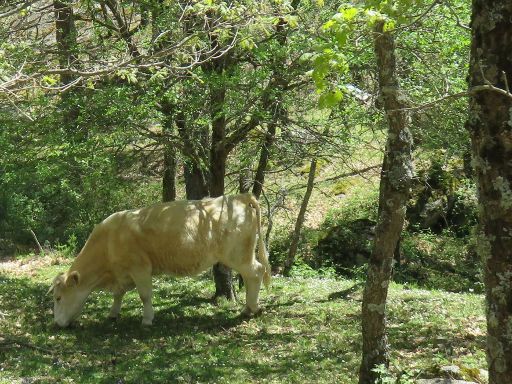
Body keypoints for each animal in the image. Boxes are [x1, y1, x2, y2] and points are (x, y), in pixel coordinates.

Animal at [48, 192, 272, 328]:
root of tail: (238, 197)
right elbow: (118, 294)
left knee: (255, 273)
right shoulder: (123, 273)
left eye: (58, 298)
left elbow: (145, 295)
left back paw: (250, 309)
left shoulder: (140, 268)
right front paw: (113, 314)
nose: (57, 324)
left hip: (239, 255)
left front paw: (147, 319)